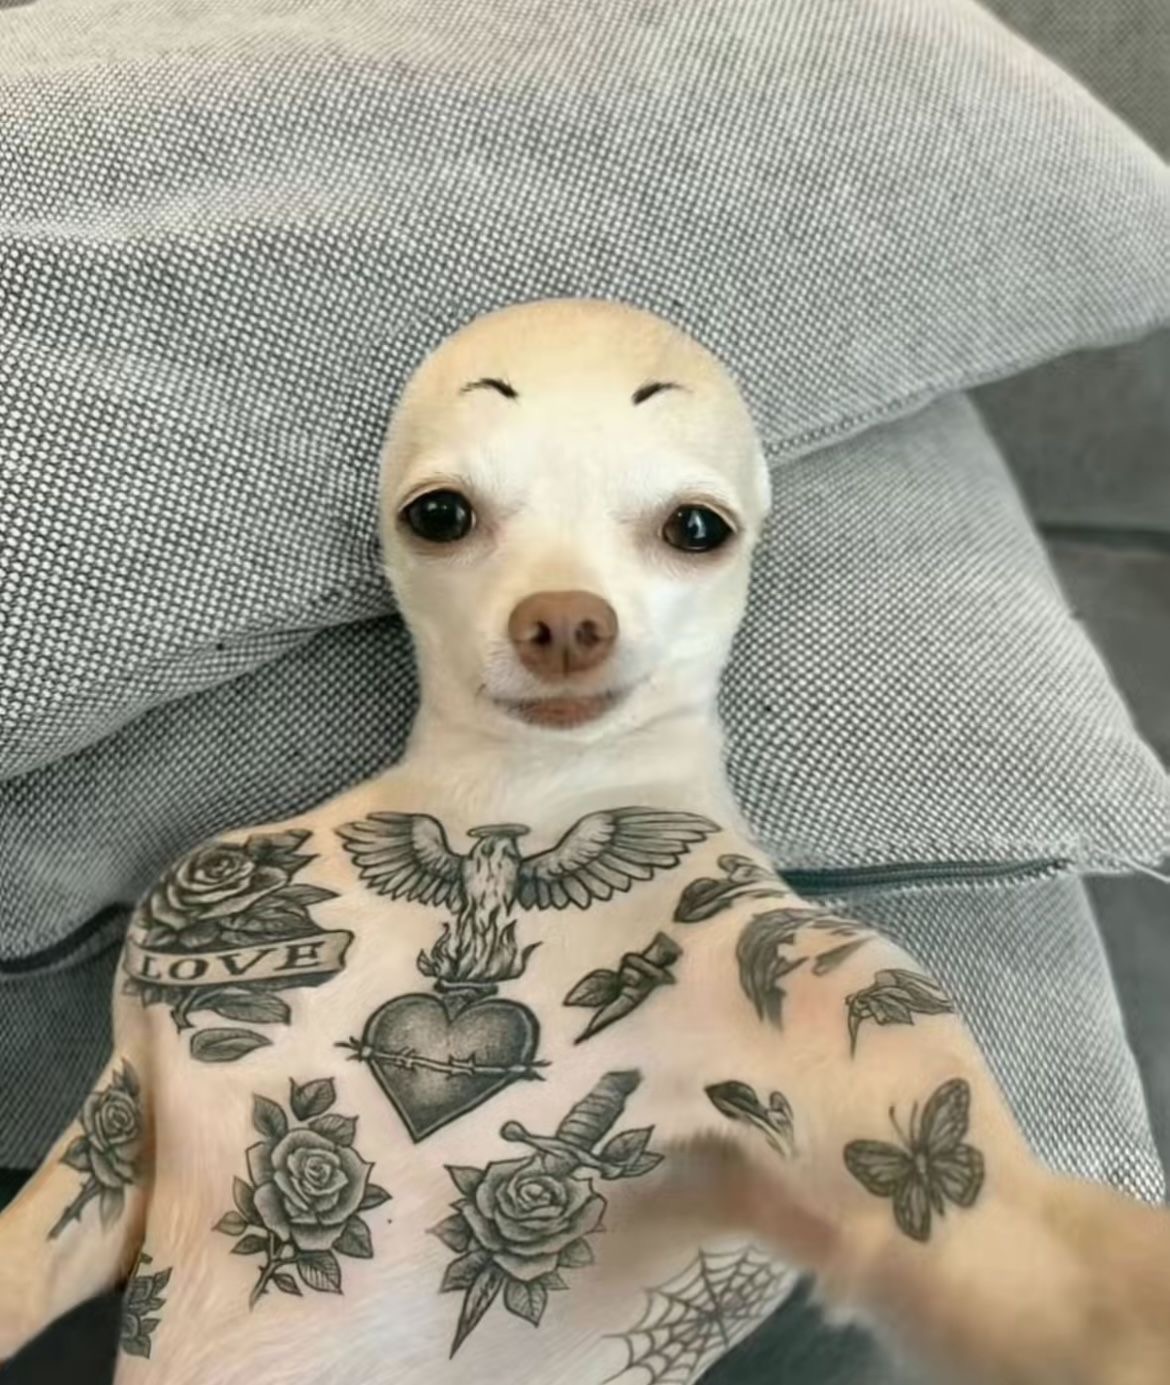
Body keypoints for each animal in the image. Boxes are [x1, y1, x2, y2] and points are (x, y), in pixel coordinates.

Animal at [2, 297, 1168, 1384]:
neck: (521, 796)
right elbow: (63, 1204)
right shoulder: (125, 1117)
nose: (563, 619)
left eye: (697, 527)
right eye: (439, 513)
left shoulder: (827, 986)